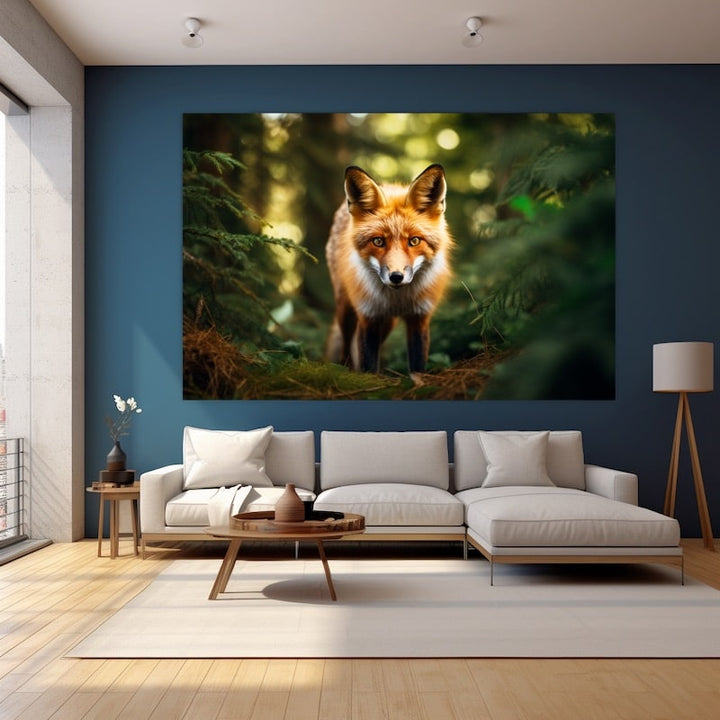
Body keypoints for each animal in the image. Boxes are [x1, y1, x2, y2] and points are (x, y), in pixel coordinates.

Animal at [325, 163, 453, 374]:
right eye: (378, 241)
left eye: (414, 241)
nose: (396, 276)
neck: (397, 299)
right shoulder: (368, 314)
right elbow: (368, 364)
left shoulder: (419, 317)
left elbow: (418, 363)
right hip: (346, 308)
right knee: (346, 346)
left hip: (387, 323)